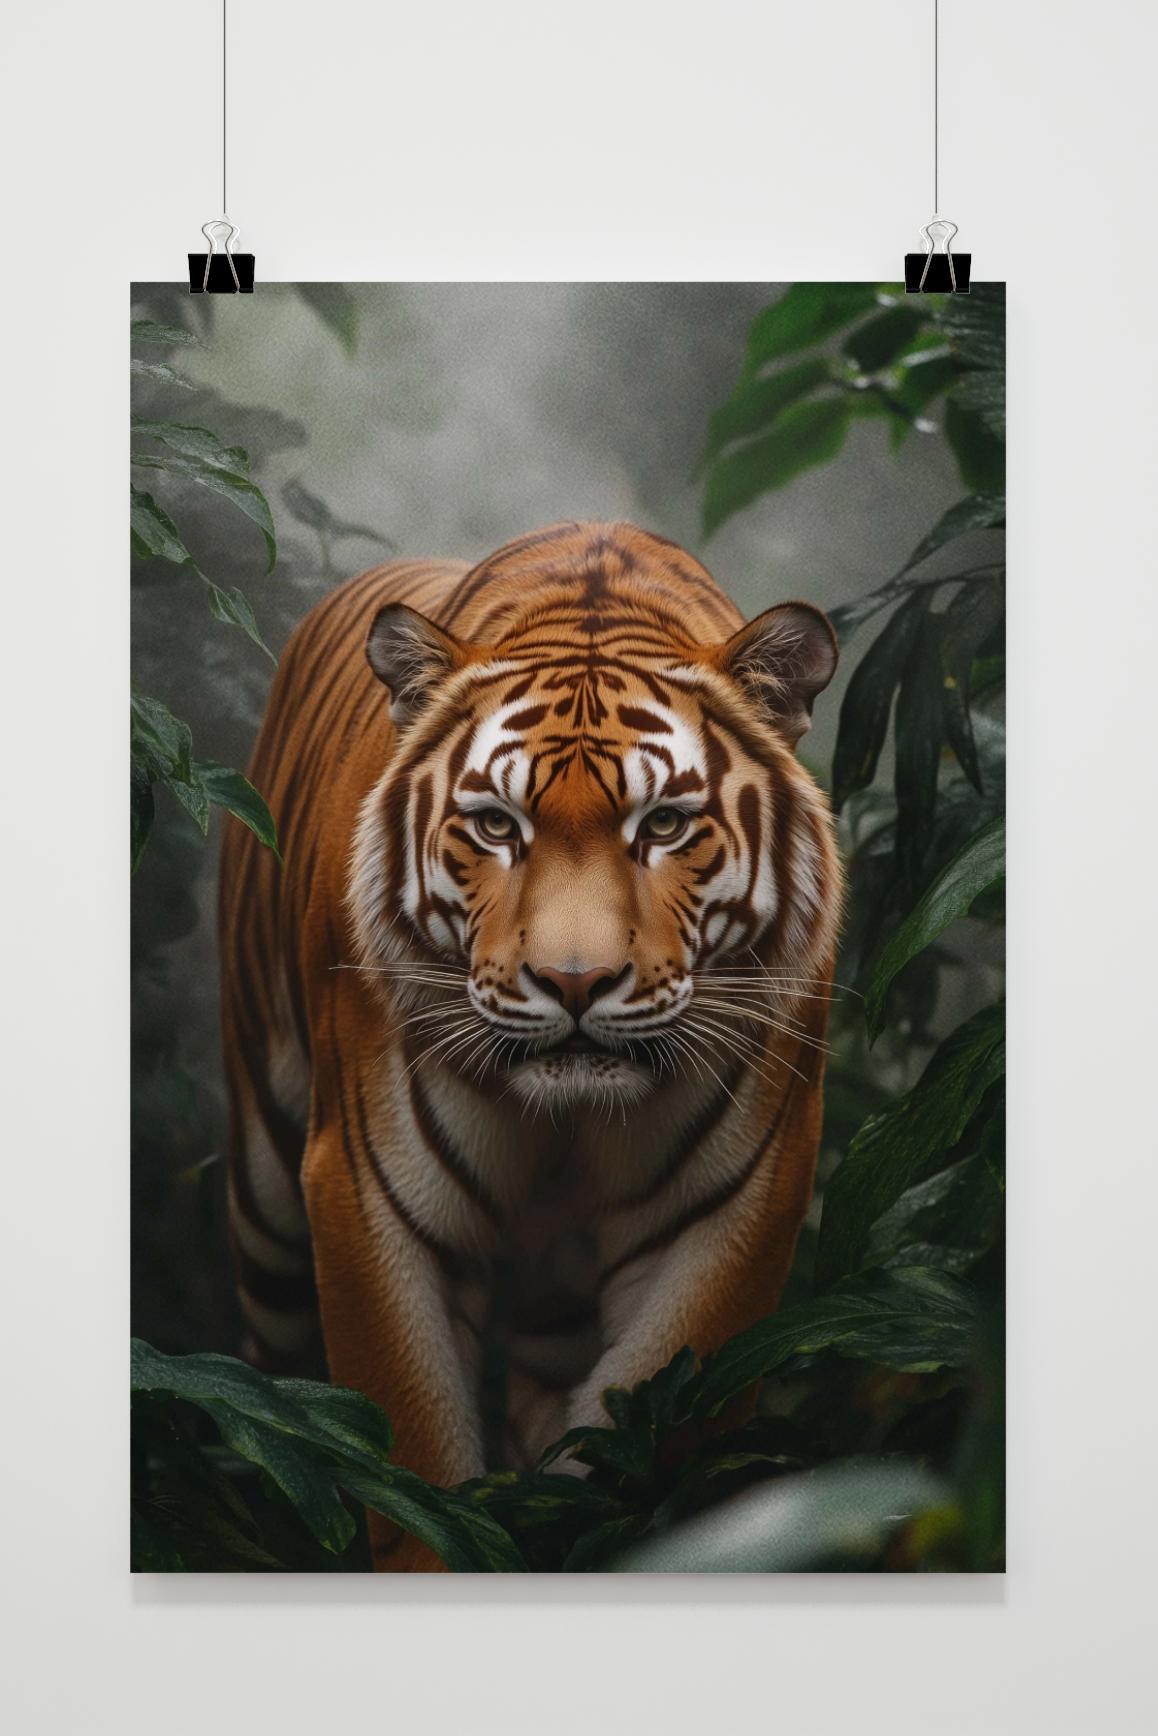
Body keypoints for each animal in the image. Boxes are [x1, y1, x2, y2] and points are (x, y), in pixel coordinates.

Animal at [219, 520, 842, 1571]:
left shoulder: (735, 1201)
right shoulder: (370, 1190)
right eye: (494, 826)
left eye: (663, 824)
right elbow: (413, 1470)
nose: (576, 983)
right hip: (264, 1196)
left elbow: (647, 1440)